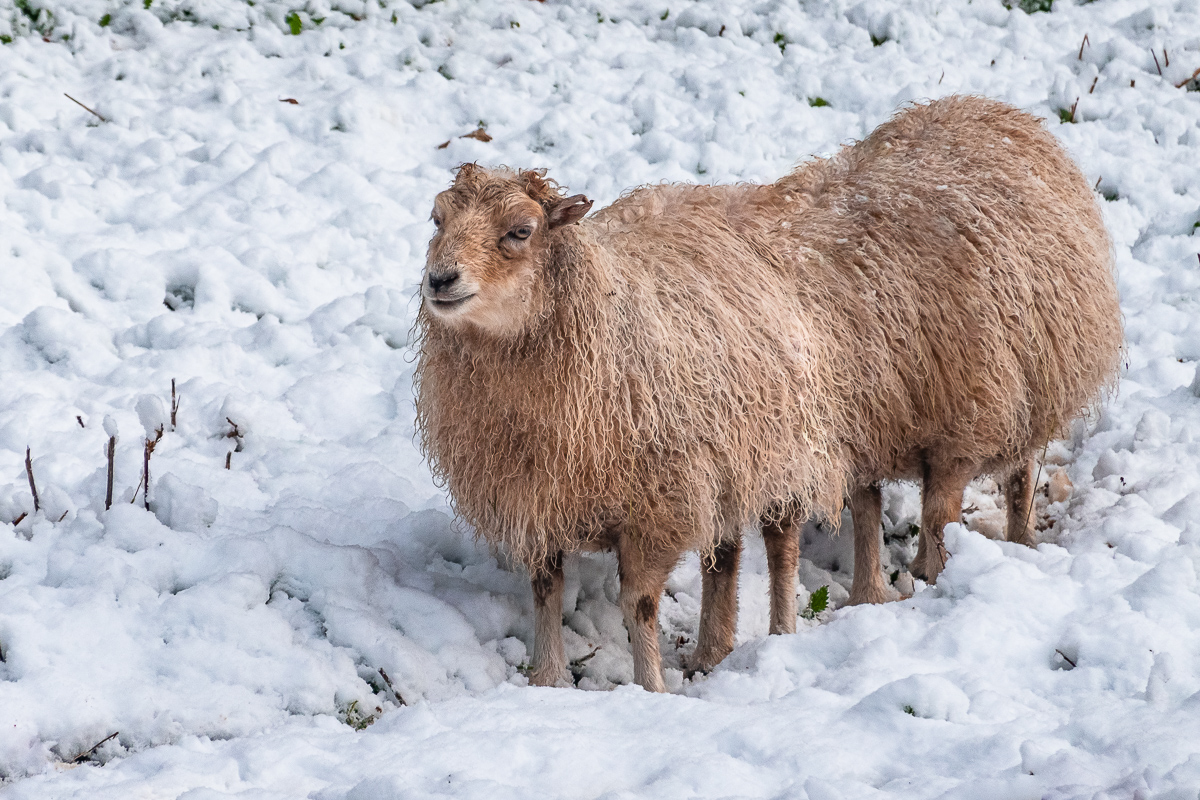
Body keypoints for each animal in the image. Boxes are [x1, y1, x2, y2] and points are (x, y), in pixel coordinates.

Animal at [412, 97, 1123, 690]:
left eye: (520, 231)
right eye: (437, 219)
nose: (439, 279)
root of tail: (997, 111)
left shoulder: (655, 505)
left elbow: (639, 603)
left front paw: (648, 688)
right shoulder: (538, 500)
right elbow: (546, 592)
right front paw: (548, 681)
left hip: (970, 399)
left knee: (895, 513)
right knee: (774, 538)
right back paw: (746, 638)